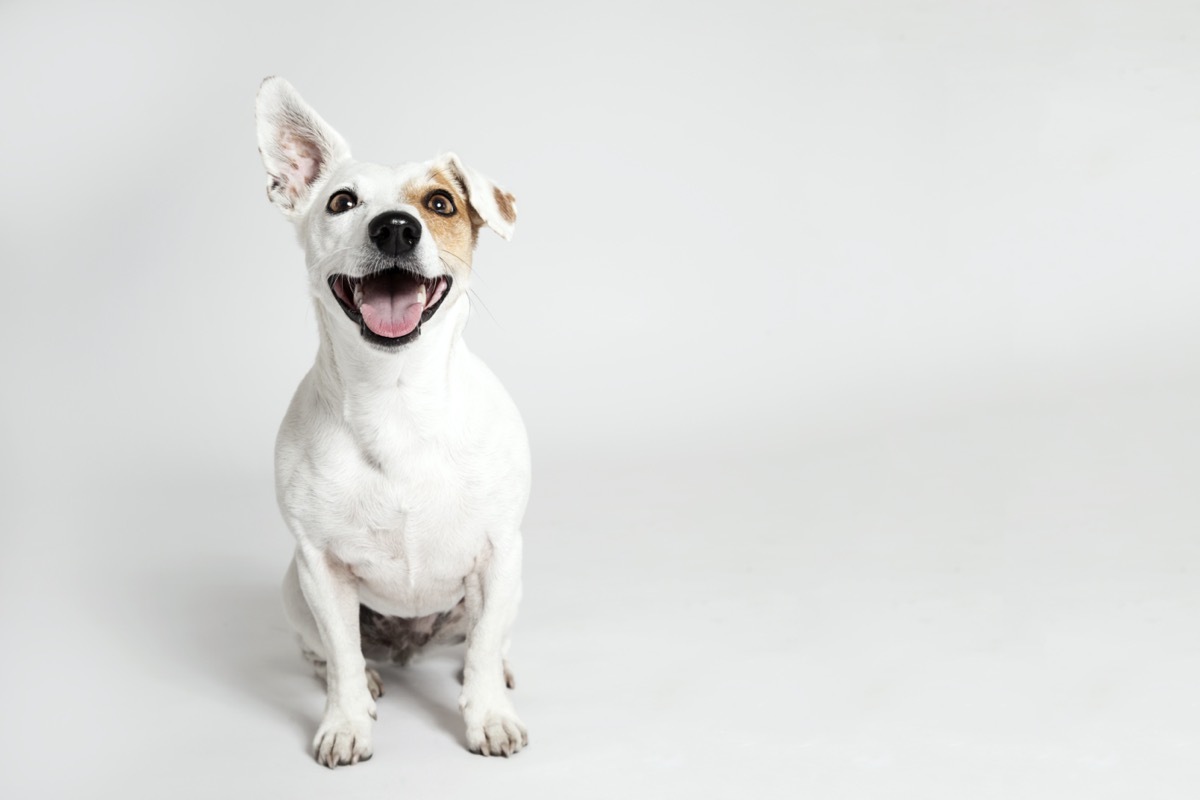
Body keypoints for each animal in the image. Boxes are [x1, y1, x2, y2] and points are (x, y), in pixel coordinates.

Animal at [254, 76, 530, 767]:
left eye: (440, 203)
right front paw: (346, 722)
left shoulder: (499, 553)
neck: (396, 397)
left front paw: (489, 716)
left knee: (487, 637)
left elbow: (482, 651)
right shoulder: (319, 566)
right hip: (293, 589)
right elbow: (343, 658)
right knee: (328, 652)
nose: (396, 228)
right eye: (341, 202)